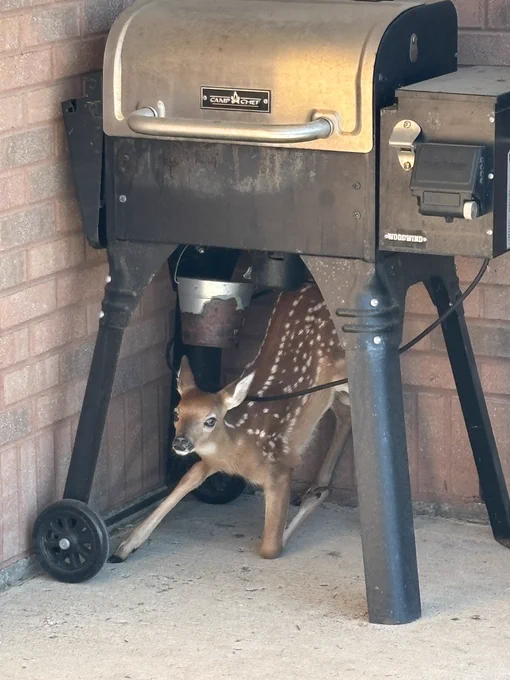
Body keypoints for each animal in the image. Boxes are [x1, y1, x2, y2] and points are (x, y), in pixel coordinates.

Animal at [110, 282, 351, 563]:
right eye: (176, 413)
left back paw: (317, 490)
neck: (240, 448)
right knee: (344, 415)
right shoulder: (209, 461)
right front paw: (125, 546)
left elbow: (271, 548)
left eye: (210, 420)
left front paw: (314, 499)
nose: (181, 442)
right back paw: (316, 486)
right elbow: (186, 480)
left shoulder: (278, 469)